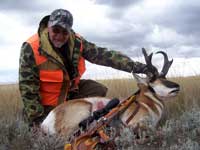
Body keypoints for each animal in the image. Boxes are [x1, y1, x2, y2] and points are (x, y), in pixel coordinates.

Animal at [40, 48, 180, 141]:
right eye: (155, 80)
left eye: (165, 77)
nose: (177, 86)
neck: (145, 103)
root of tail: (46, 121)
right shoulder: (136, 124)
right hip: (84, 110)